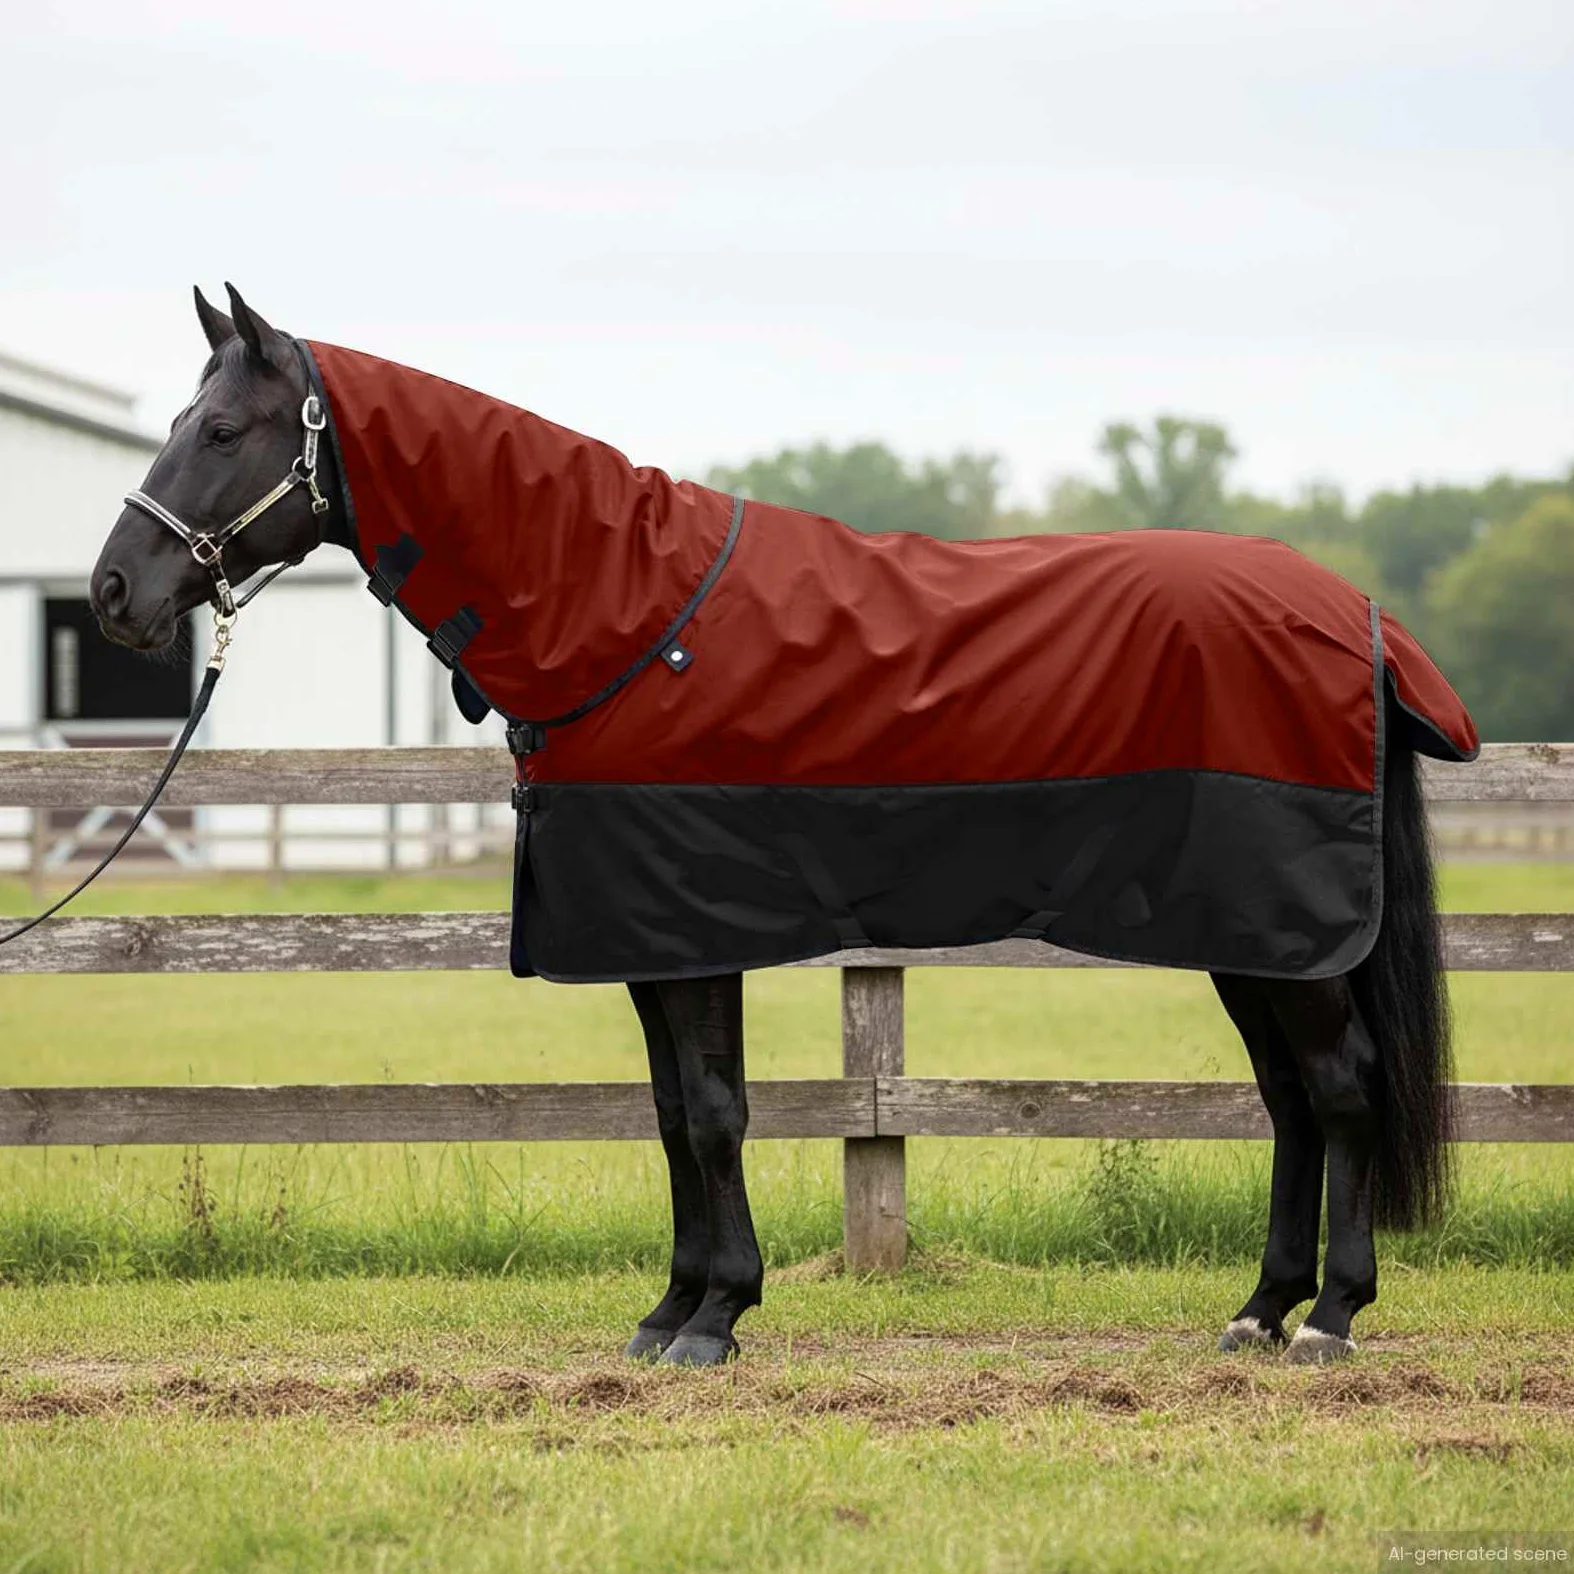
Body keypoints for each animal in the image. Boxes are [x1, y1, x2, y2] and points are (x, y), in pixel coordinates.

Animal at [90, 283, 1476, 1367]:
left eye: (221, 428)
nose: (113, 591)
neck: (626, 613)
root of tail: (1352, 614)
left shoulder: (693, 928)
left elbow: (712, 1111)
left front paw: (715, 1318)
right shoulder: (647, 938)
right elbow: (669, 1113)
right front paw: (669, 1310)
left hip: (1282, 931)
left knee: (1338, 1087)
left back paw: (1328, 1317)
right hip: (1249, 936)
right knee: (1289, 1098)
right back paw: (1256, 1309)